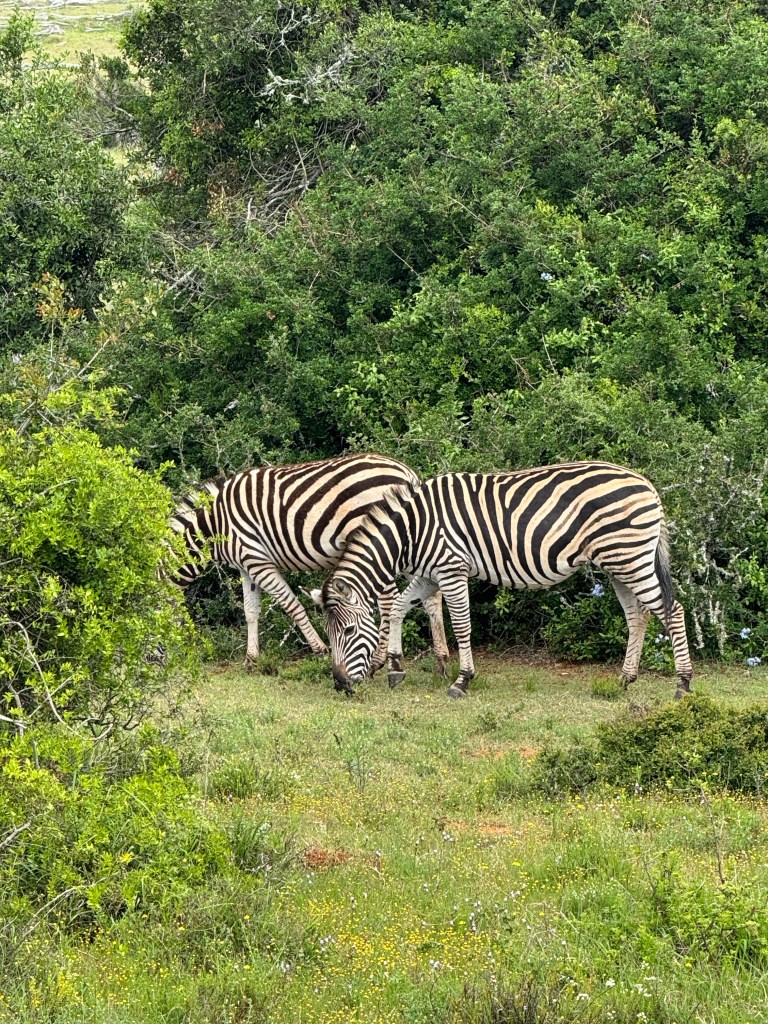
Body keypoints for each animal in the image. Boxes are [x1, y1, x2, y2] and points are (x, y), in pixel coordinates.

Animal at [169, 453, 448, 683]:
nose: (169, 659)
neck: (215, 525)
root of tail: (407, 473)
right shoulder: (246, 567)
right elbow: (250, 612)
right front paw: (251, 660)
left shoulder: (258, 560)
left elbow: (291, 604)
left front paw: (320, 649)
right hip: (411, 546)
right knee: (432, 597)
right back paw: (441, 661)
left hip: (380, 545)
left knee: (388, 601)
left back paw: (380, 662)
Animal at [314, 462, 694, 700]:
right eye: (328, 633)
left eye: (348, 631)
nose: (340, 685)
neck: (412, 530)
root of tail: (647, 485)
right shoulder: (429, 575)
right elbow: (396, 610)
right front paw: (395, 669)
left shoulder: (451, 569)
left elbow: (462, 626)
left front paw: (462, 681)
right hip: (618, 563)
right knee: (638, 615)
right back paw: (624, 680)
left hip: (629, 557)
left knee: (672, 611)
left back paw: (683, 685)